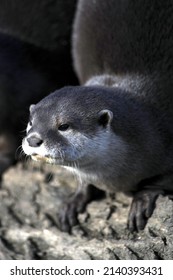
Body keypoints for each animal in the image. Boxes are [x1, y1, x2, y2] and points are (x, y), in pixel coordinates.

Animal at [22, 0, 173, 232]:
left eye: (63, 126)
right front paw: (75, 199)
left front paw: (142, 199)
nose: (33, 139)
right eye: (31, 122)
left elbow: (161, 181)